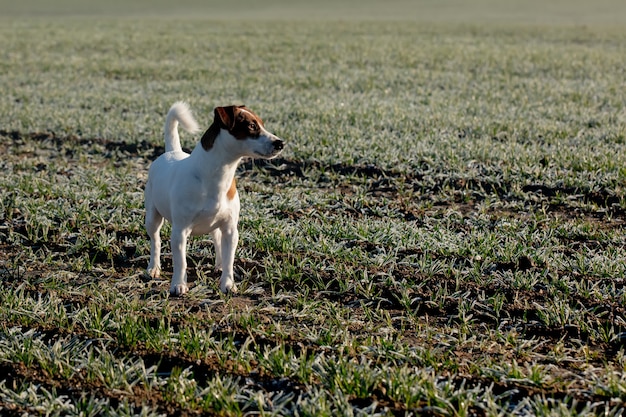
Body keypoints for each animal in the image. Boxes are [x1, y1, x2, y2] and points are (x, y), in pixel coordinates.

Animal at [144, 102, 282, 294]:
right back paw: (153, 267)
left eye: (262, 124)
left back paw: (219, 265)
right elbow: (181, 261)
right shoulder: (180, 232)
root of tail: (172, 151)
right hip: (152, 217)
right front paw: (178, 284)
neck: (218, 177)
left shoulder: (231, 230)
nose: (280, 143)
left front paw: (228, 283)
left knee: (217, 241)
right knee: (155, 241)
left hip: (216, 225)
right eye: (251, 126)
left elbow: (229, 258)